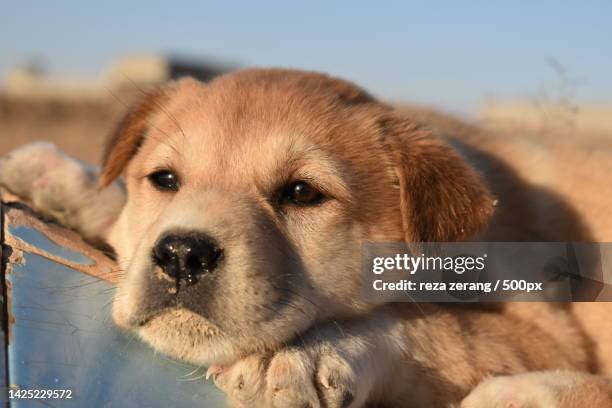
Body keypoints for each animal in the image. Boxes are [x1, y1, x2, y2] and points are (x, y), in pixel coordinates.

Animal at [1, 68, 612, 406]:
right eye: (165, 181)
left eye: (301, 193)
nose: (181, 254)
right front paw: (65, 180)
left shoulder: (548, 329)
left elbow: (431, 326)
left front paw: (303, 352)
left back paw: (521, 394)